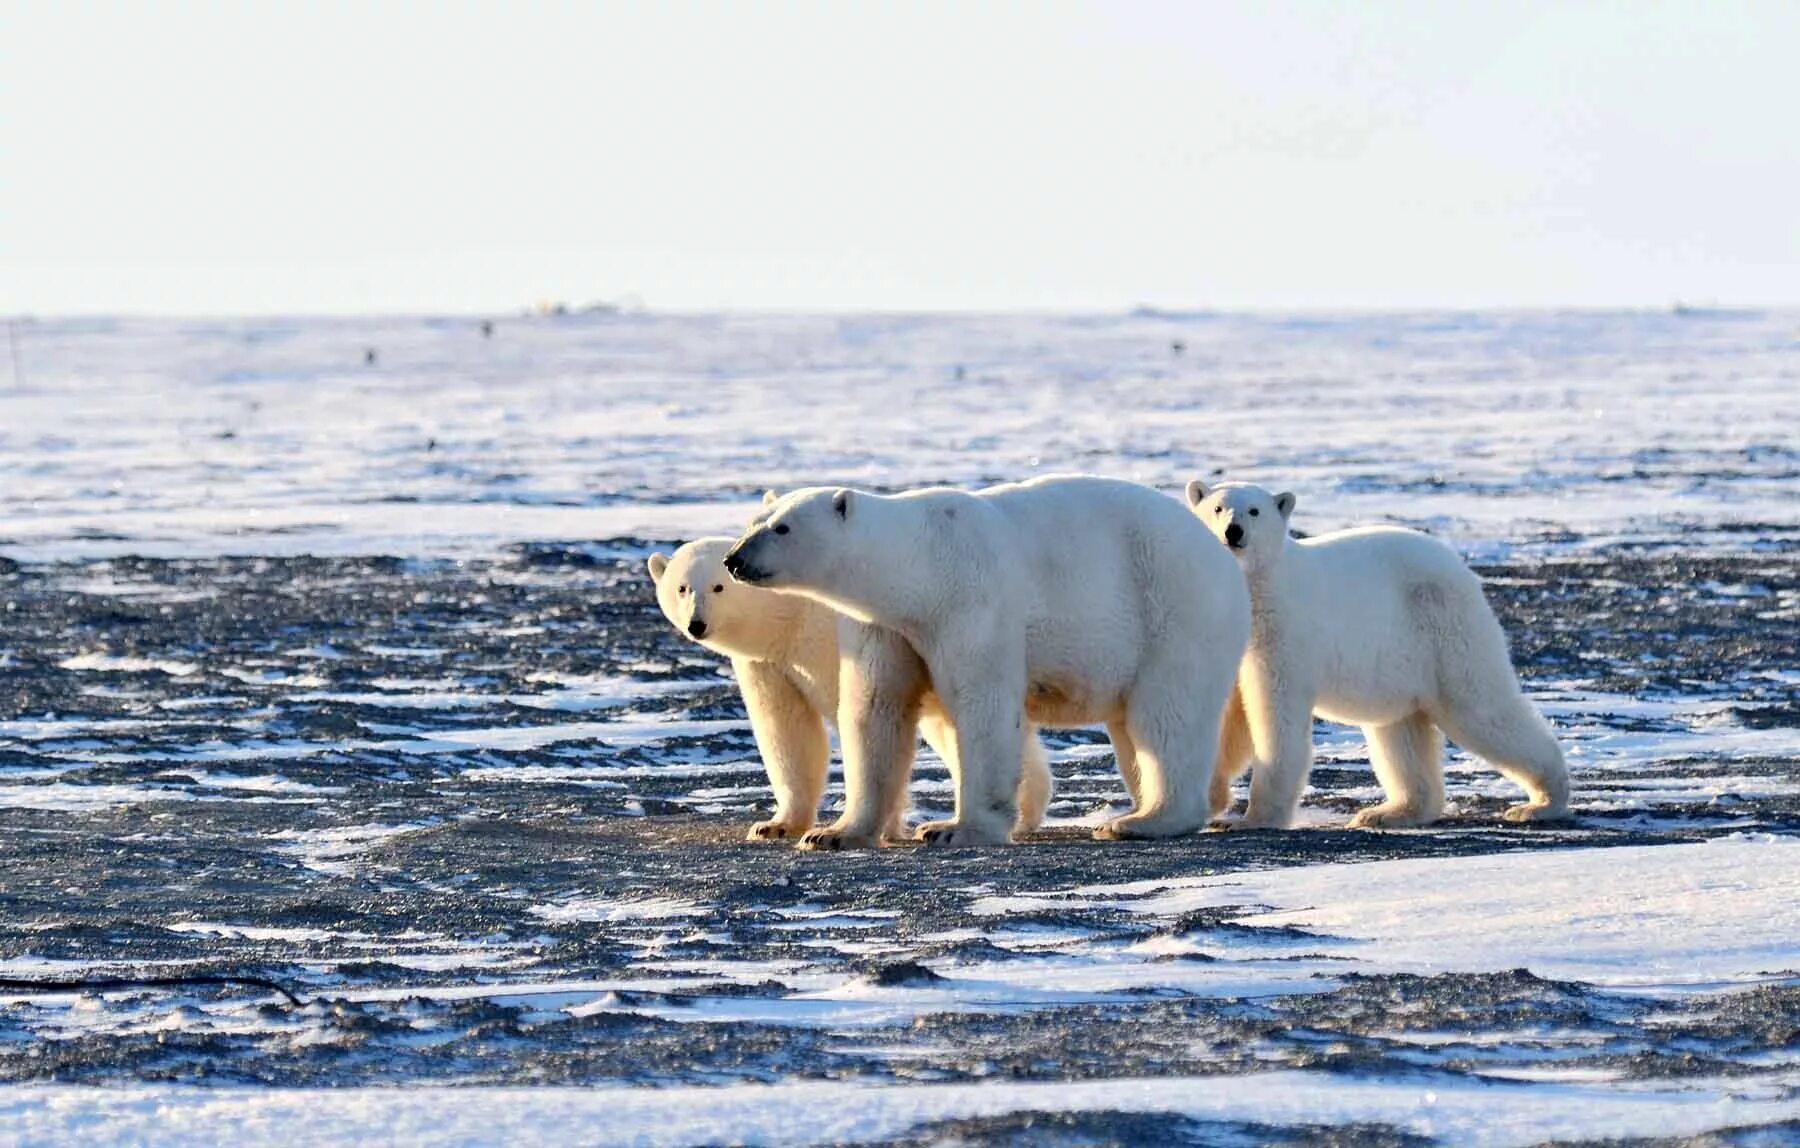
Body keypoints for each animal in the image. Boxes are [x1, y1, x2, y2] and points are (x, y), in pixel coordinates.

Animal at [644, 532, 1051, 845]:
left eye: (718, 587)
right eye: (681, 588)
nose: (697, 624)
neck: (791, 616)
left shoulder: (833, 643)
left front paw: (876, 825)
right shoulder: (770, 664)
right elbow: (787, 731)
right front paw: (774, 825)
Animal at [720, 478, 1252, 856]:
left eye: (782, 527)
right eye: (753, 521)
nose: (733, 559)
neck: (921, 564)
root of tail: (1222, 559)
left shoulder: (971, 601)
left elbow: (983, 705)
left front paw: (954, 829)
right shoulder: (884, 626)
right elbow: (875, 710)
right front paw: (832, 833)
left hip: (1175, 607)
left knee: (1167, 715)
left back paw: (1142, 820)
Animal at [1188, 482, 1569, 831]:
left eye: (1254, 511)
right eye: (1218, 508)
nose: (1233, 531)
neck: (1257, 595)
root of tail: (1462, 571)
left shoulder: (1282, 637)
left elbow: (1274, 717)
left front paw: (1252, 819)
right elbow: (1226, 716)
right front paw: (1211, 800)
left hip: (1445, 632)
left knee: (1481, 708)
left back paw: (1541, 803)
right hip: (1400, 666)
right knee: (1401, 732)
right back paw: (1389, 811)